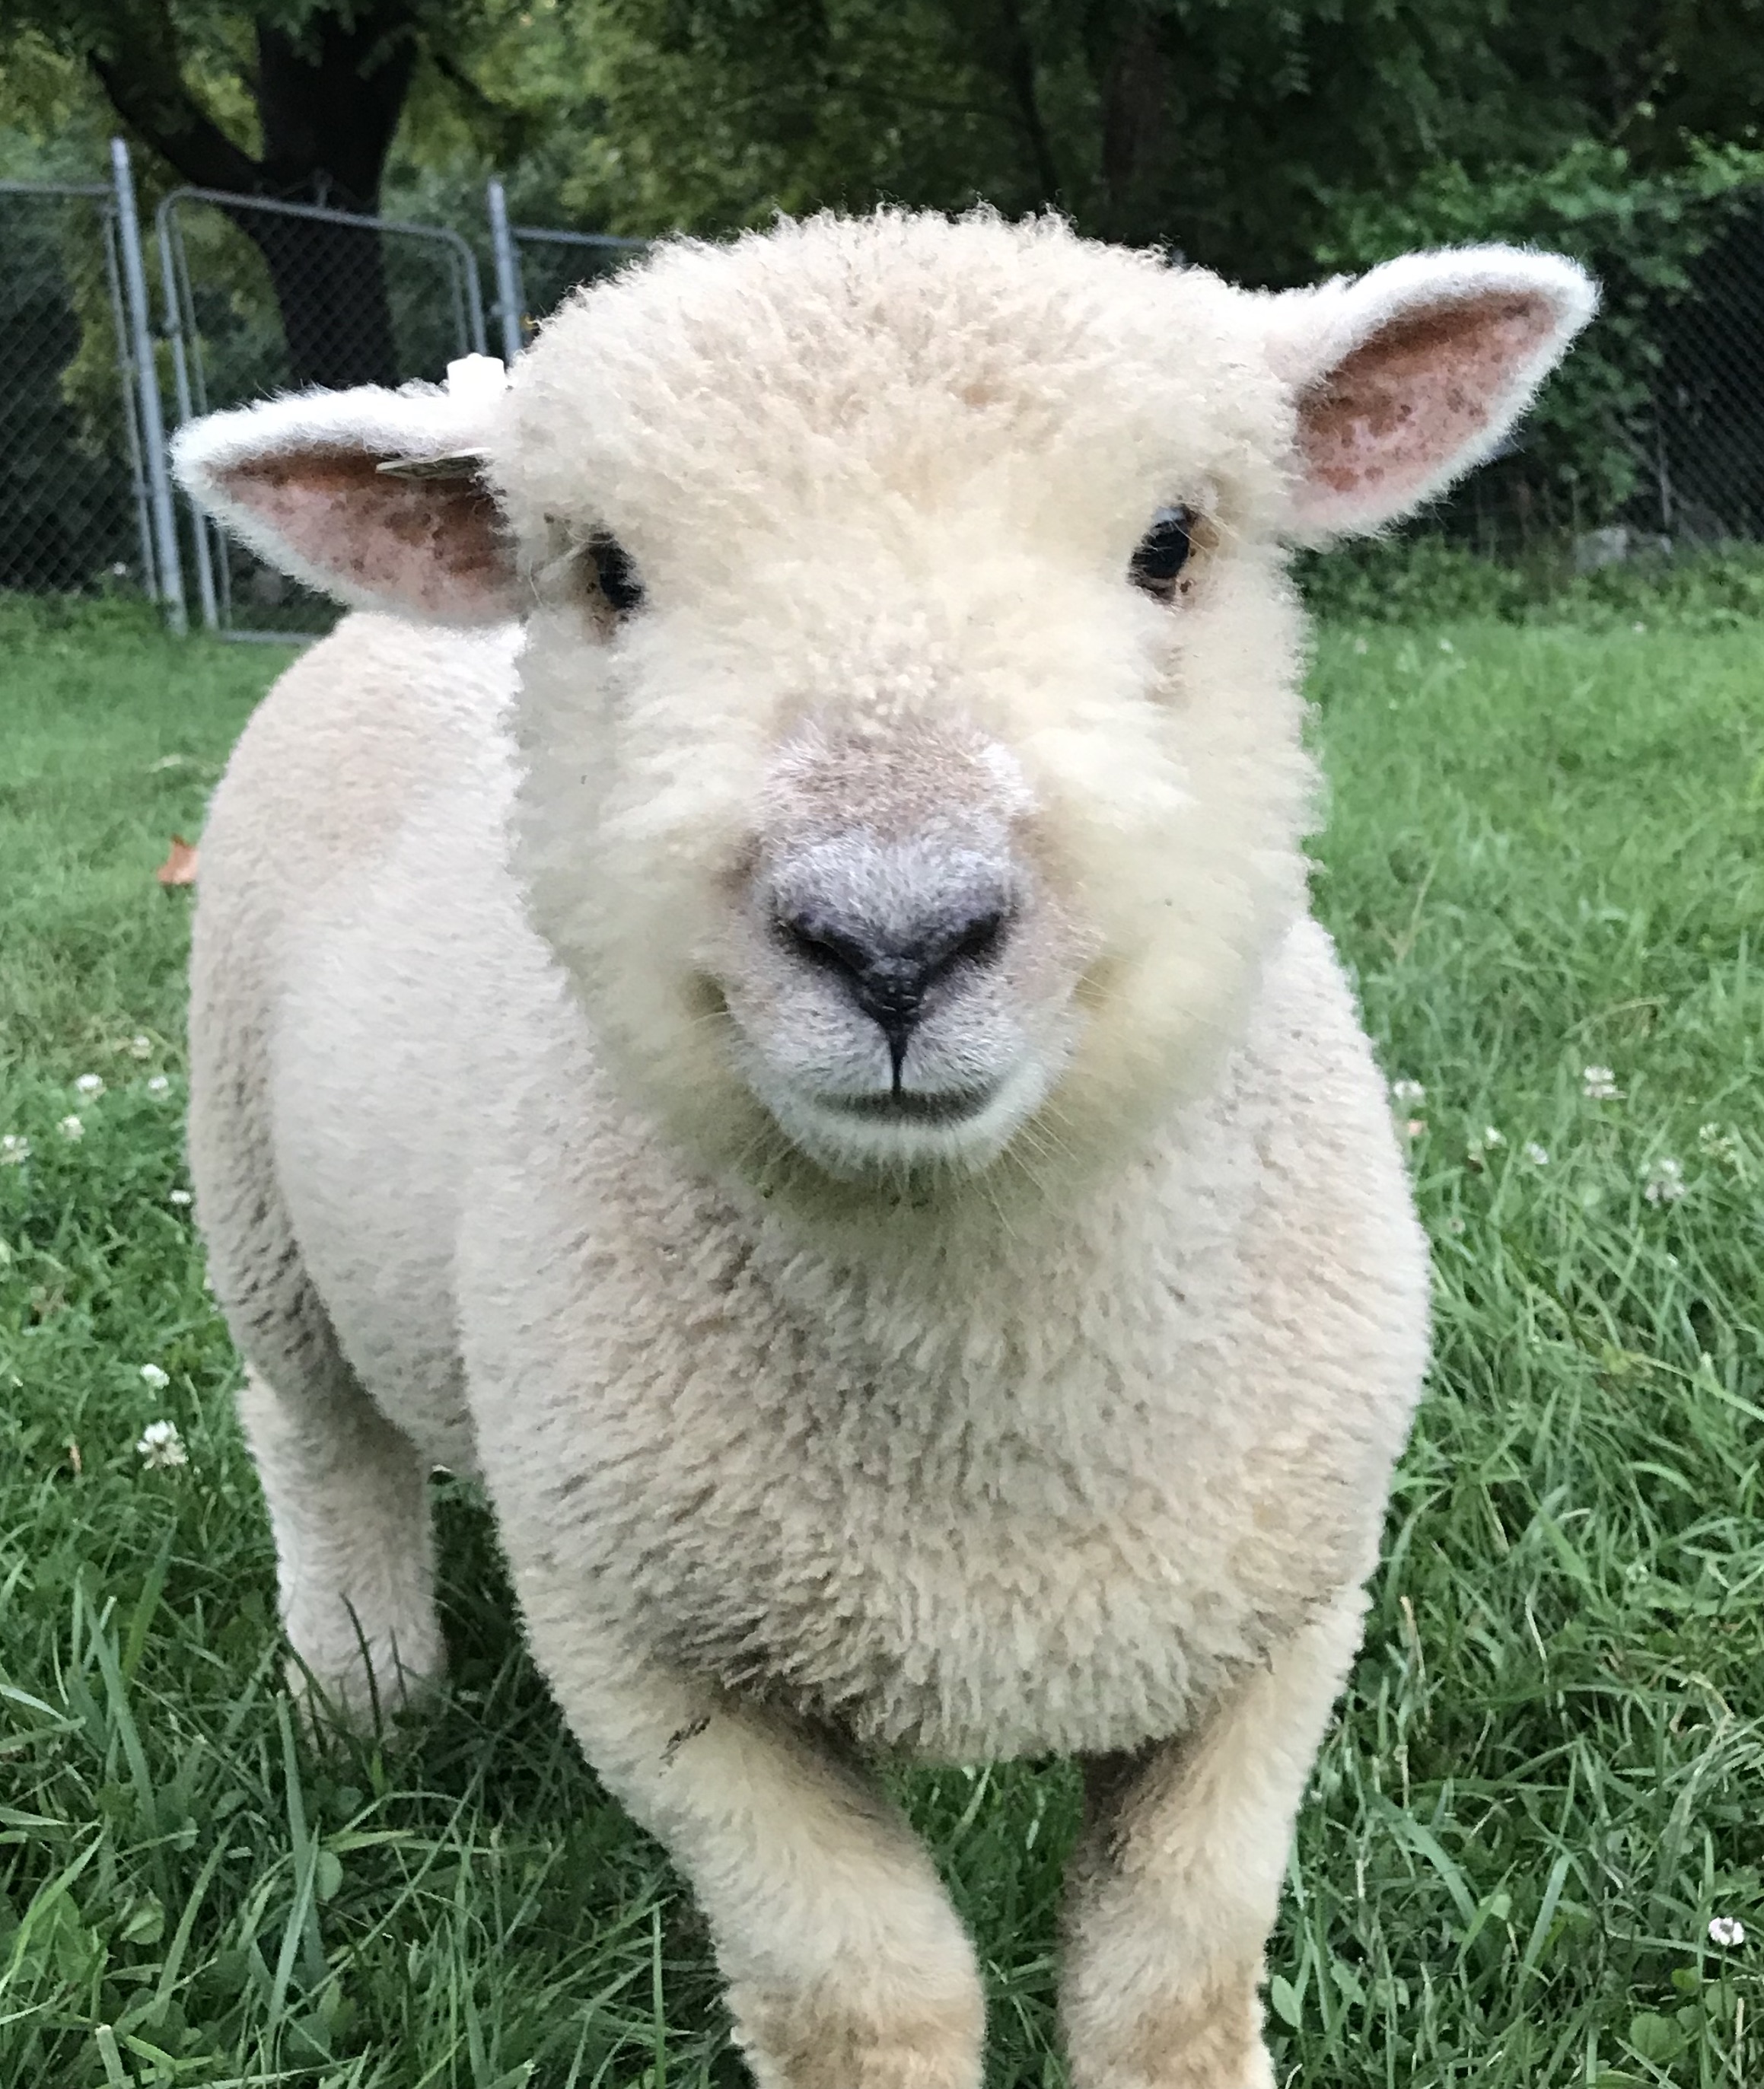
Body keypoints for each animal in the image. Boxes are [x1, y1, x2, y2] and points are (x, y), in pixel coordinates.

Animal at [171, 211, 1594, 2089]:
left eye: (1169, 542)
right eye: (608, 572)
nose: (896, 937)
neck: (982, 1398)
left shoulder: (1279, 1620)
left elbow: (1174, 1972)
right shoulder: (647, 1649)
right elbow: (866, 1993)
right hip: (252, 1192)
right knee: (320, 1439)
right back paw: (364, 1696)